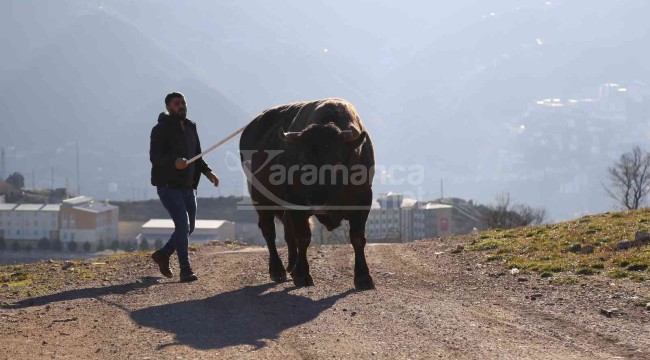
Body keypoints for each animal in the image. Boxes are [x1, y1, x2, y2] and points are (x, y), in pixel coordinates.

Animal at [239, 98, 374, 290]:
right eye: (302, 162)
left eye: (337, 163)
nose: (317, 200)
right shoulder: (297, 204)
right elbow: (303, 238)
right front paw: (302, 275)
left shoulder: (363, 201)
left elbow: (357, 238)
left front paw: (363, 277)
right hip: (260, 199)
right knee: (269, 232)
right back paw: (278, 270)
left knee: (287, 232)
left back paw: (291, 266)